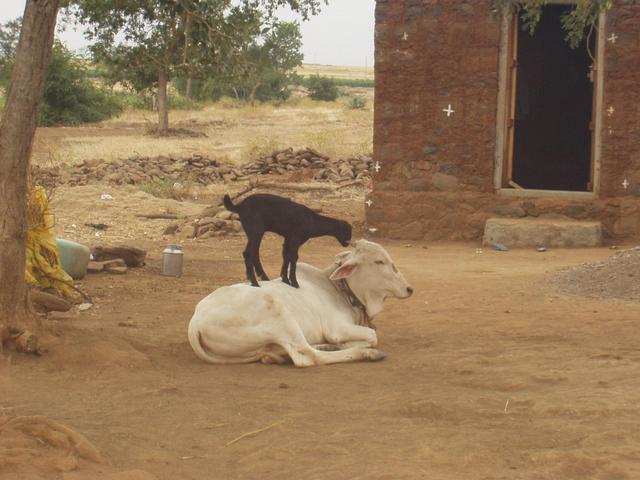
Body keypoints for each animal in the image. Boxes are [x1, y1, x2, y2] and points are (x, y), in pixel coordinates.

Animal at [188, 240, 412, 368]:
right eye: (379, 261)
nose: (409, 289)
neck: (339, 288)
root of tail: (195, 322)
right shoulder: (337, 328)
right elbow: (372, 336)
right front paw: (358, 345)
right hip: (279, 314)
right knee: (307, 356)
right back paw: (366, 354)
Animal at [222, 192, 352, 288]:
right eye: (347, 232)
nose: (347, 244)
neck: (312, 221)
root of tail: (240, 206)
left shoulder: (288, 238)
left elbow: (286, 256)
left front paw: (285, 280)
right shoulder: (296, 238)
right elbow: (293, 257)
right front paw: (294, 283)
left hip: (252, 231)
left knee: (254, 253)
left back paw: (263, 277)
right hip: (256, 229)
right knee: (248, 253)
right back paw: (255, 282)